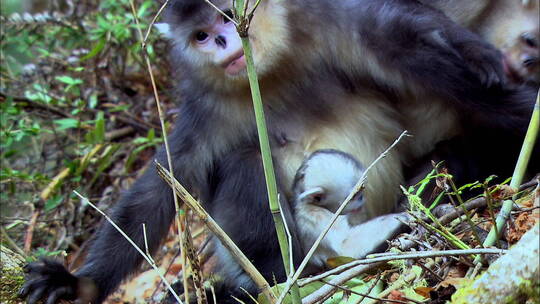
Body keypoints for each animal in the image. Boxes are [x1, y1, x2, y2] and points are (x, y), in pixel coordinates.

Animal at [19, 0, 536, 302]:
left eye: (226, 19)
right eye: (200, 36)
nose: (222, 41)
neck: (268, 72)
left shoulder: (329, 23)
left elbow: (404, 36)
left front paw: (482, 58)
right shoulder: (207, 111)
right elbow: (161, 189)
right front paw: (78, 284)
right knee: (247, 164)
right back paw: (275, 281)